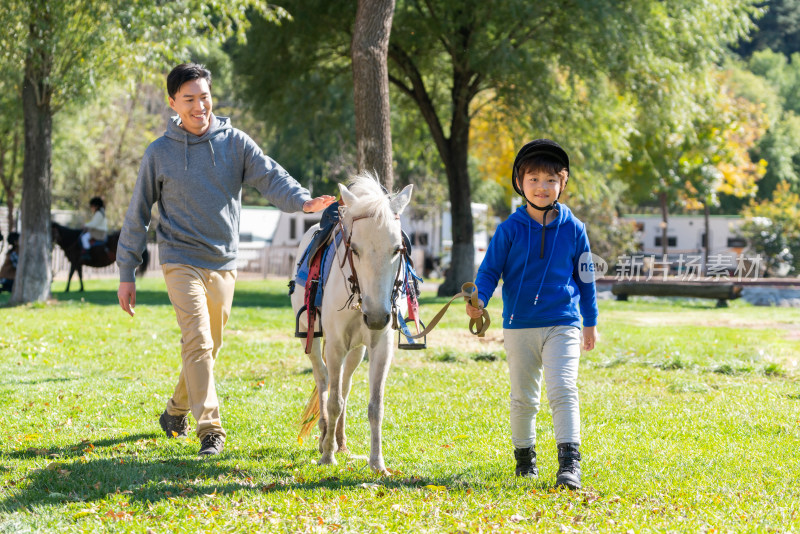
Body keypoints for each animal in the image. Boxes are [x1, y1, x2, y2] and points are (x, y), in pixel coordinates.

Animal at [292, 174, 416, 476]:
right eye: (355, 249)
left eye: (398, 249)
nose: (376, 317)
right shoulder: (335, 345)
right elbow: (333, 401)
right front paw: (327, 457)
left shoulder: (381, 347)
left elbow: (375, 406)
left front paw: (377, 463)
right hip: (312, 339)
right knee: (324, 380)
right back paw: (326, 438)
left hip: (357, 351)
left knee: (345, 385)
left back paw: (340, 442)